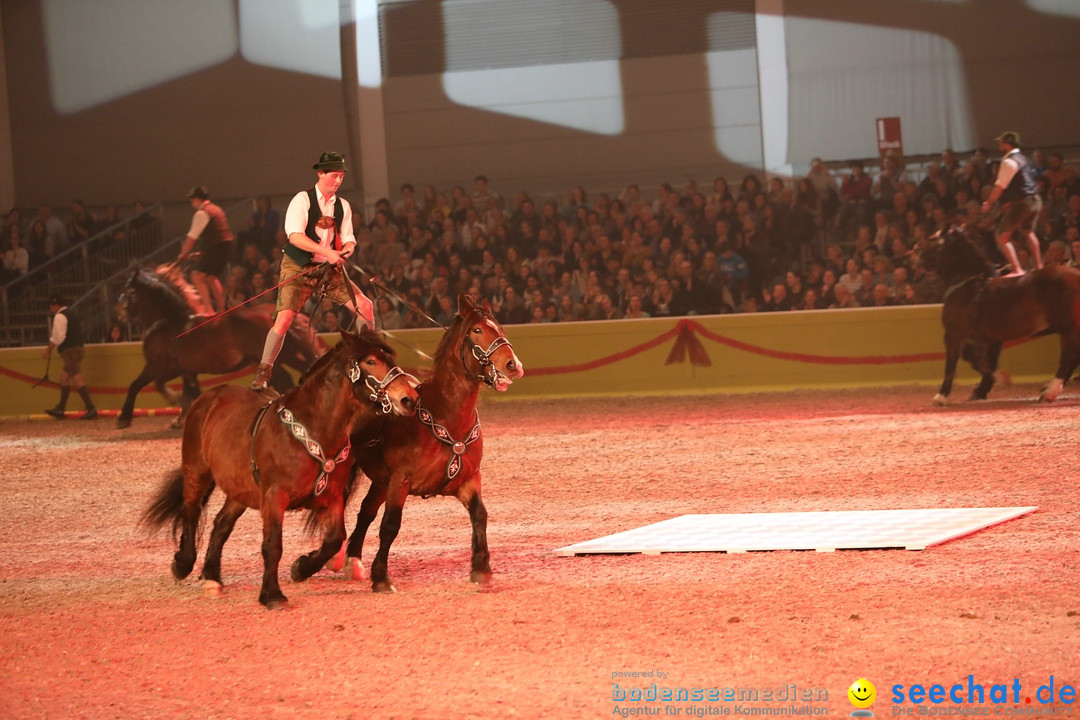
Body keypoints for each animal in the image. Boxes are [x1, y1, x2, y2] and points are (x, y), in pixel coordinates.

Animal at [145, 330, 423, 608]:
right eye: (371, 361)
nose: (409, 398)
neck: (314, 430)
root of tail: (207, 397)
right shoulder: (274, 496)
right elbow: (273, 545)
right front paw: (272, 594)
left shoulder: (331, 496)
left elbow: (334, 540)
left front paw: (301, 567)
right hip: (197, 471)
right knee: (191, 512)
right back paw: (183, 564)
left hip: (240, 489)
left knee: (221, 523)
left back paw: (212, 576)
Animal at [339, 291, 520, 591]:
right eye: (477, 330)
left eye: (500, 328)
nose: (513, 365)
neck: (444, 414)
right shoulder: (400, 481)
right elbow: (390, 525)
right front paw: (381, 576)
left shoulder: (469, 480)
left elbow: (479, 515)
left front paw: (481, 568)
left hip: (381, 481)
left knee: (365, 511)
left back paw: (353, 559)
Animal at [920, 226, 1080, 403]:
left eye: (934, 241)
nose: (919, 258)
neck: (968, 286)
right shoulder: (990, 339)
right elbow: (977, 360)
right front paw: (982, 389)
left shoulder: (953, 334)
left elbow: (952, 365)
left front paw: (941, 396)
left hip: (1068, 329)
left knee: (1069, 358)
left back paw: (1050, 391)